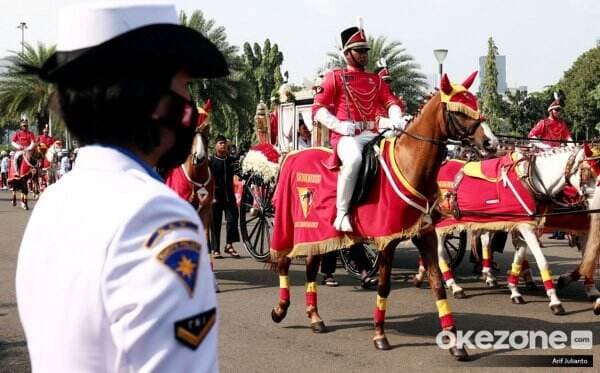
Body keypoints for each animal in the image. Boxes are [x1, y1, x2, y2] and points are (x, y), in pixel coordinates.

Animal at [268, 71, 496, 358]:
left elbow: (436, 283)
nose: (491, 142)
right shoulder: (387, 240)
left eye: (474, 104)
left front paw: (454, 342)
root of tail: (293, 156)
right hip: (292, 226)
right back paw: (280, 309)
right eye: (459, 110)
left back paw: (315, 317)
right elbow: (384, 285)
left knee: (310, 266)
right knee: (284, 261)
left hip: (316, 232)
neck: (411, 164)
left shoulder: (425, 235)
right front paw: (379, 334)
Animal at [426, 145, 592, 314]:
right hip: (441, 223)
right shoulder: (527, 228)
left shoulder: (524, 226)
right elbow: (542, 261)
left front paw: (515, 290)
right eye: (588, 172)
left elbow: (519, 257)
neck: (531, 179)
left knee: (481, 241)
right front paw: (555, 301)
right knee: (440, 253)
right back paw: (454, 285)